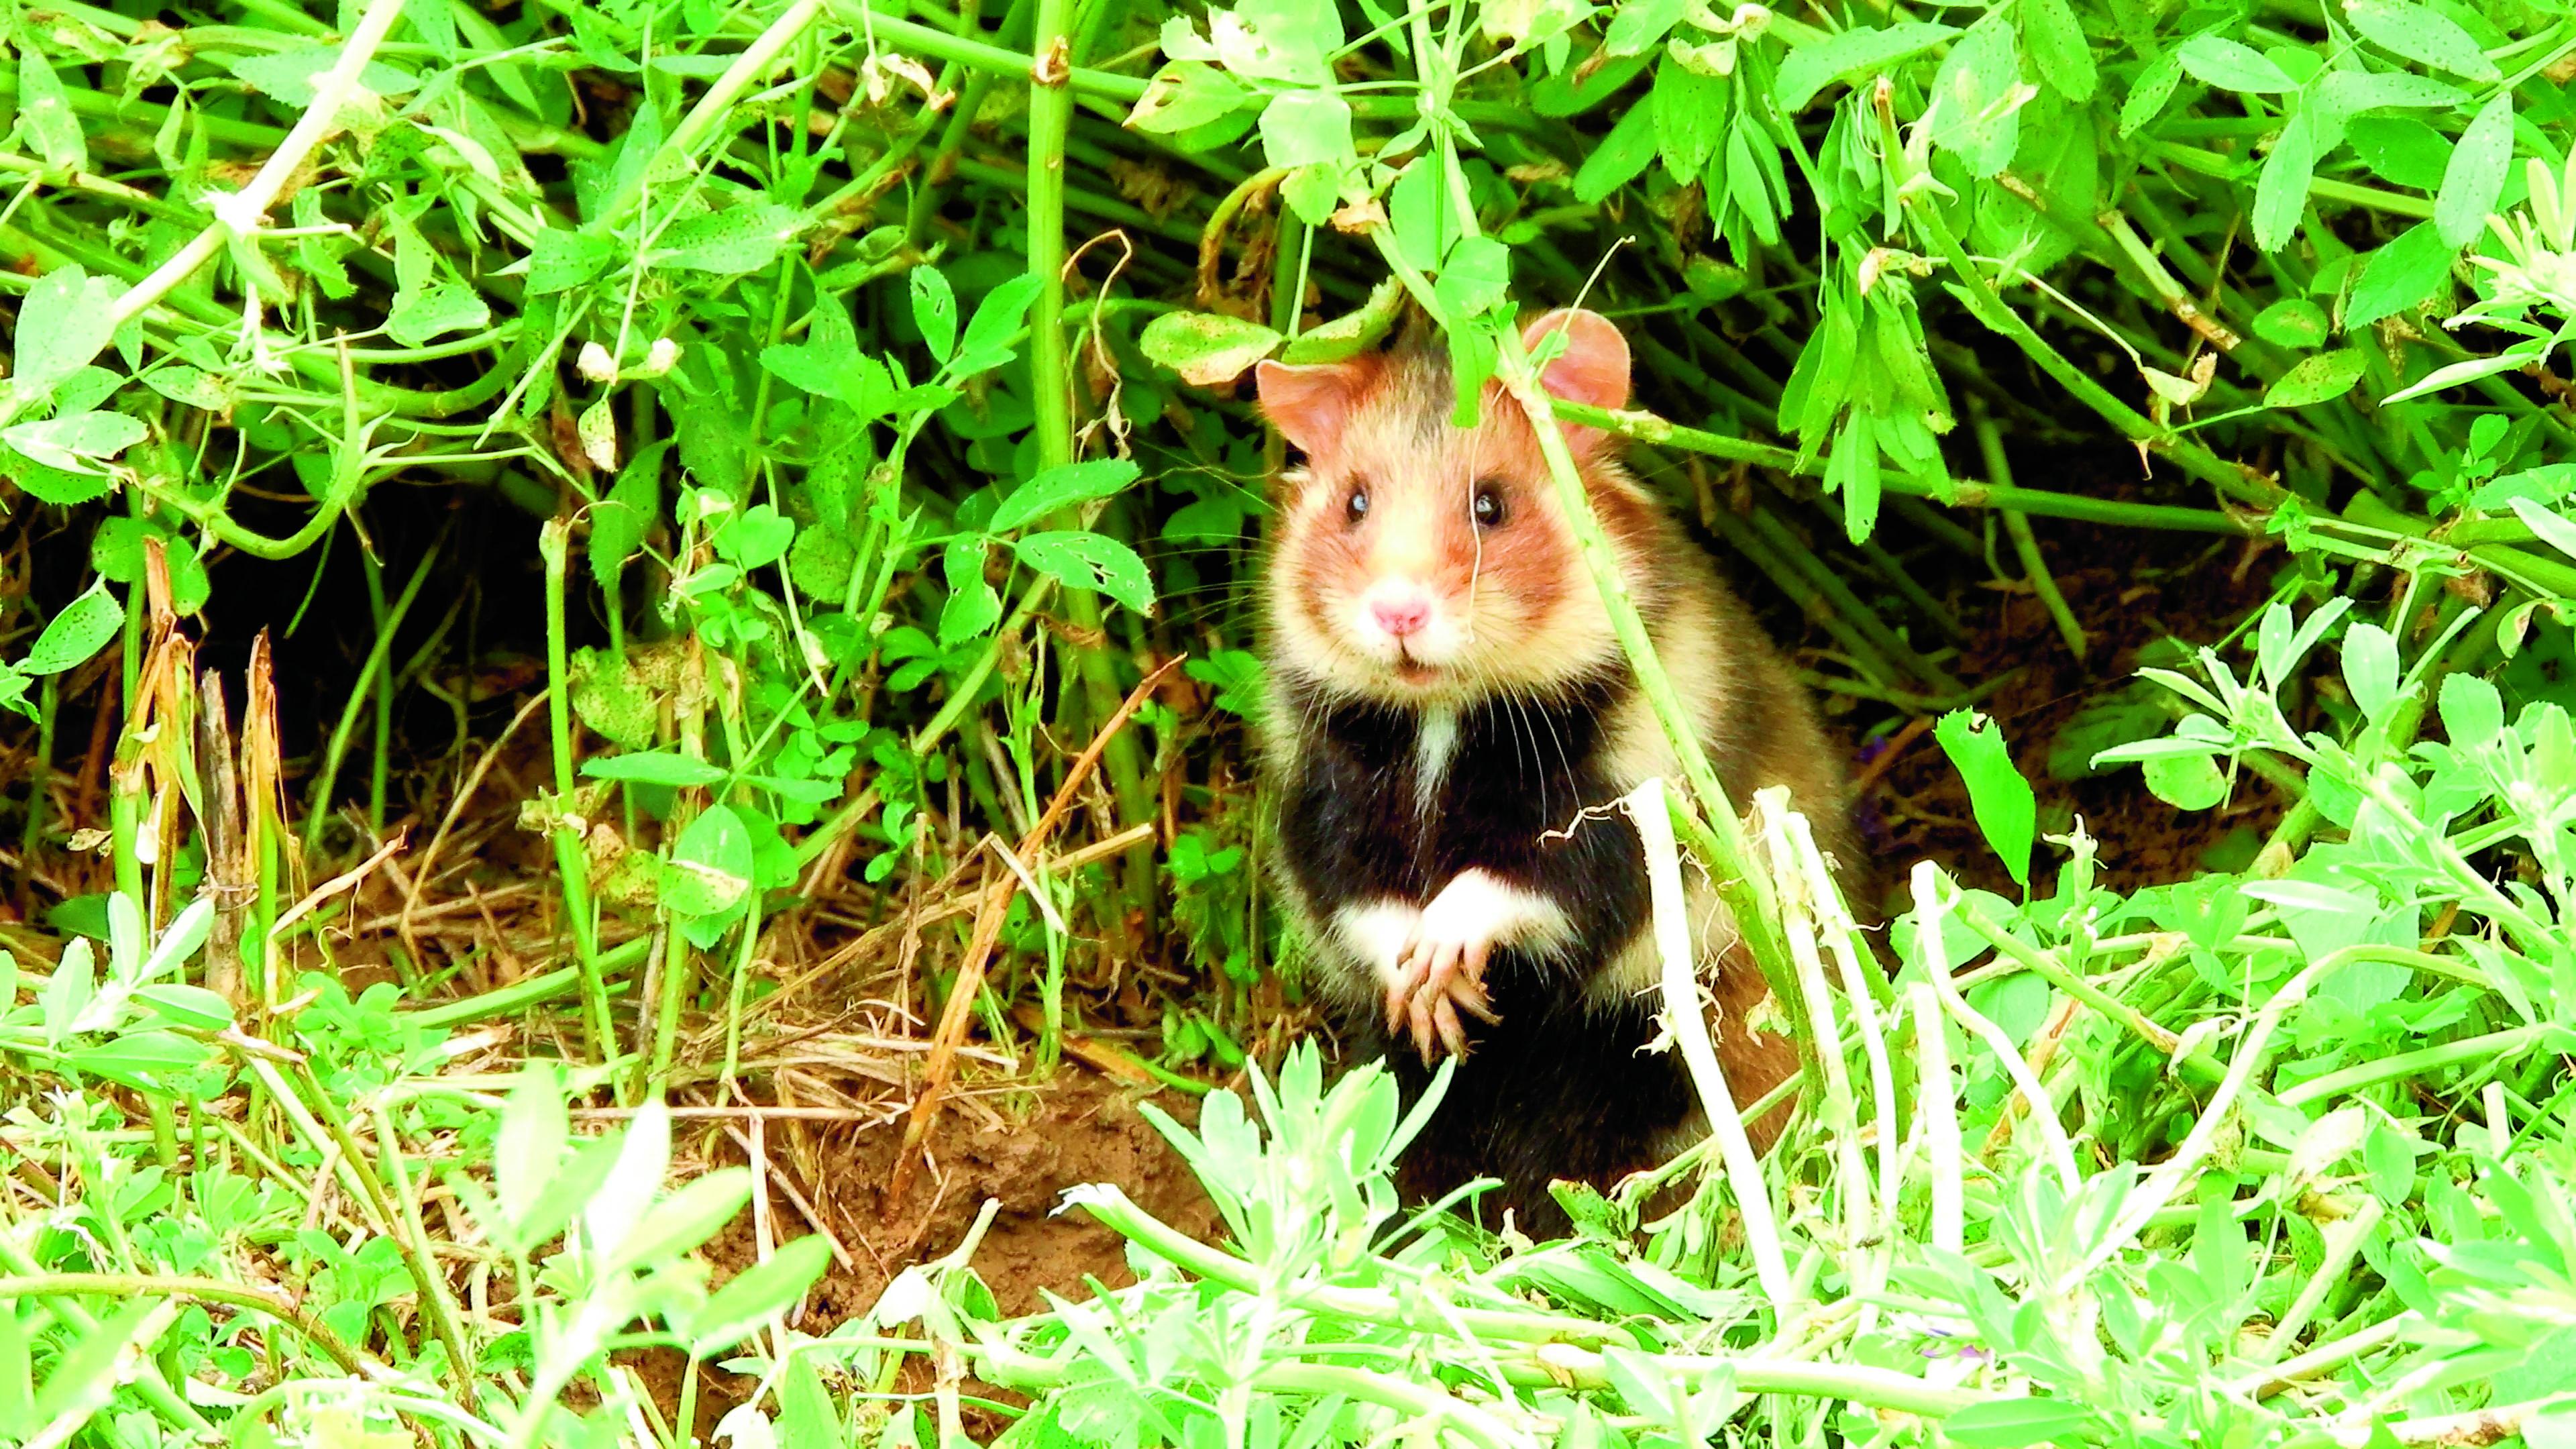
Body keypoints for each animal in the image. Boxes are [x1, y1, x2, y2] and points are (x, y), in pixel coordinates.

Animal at [1253, 308, 1863, 1238]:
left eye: (1491, 505)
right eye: (1354, 502)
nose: (1398, 613)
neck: (1446, 713)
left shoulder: (1633, 807)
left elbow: (1528, 883)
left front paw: (1445, 970)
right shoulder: (1318, 801)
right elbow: (1359, 900)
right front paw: (1430, 1003)